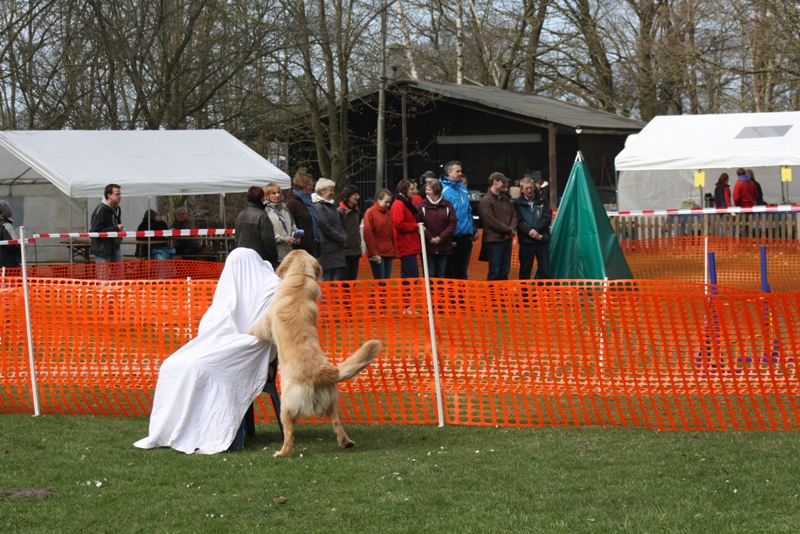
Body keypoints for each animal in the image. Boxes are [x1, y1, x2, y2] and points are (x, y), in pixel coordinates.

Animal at [249, 249, 382, 457]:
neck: (300, 279)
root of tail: (322, 372)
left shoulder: (266, 322)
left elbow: (255, 330)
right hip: (329, 403)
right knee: (336, 422)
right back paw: (346, 442)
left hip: (286, 405)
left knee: (289, 433)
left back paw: (282, 453)